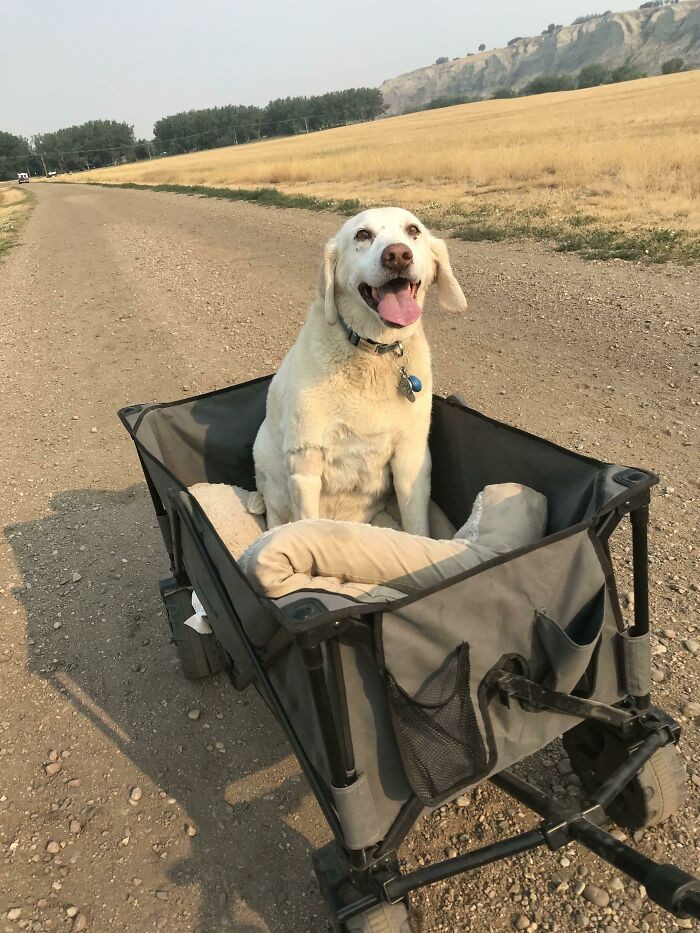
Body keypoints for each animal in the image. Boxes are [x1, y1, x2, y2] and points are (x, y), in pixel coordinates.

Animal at [252, 207, 464, 536]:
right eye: (362, 234)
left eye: (413, 230)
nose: (398, 255)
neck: (374, 352)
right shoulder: (305, 462)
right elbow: (306, 525)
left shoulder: (412, 460)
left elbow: (417, 527)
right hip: (267, 470)